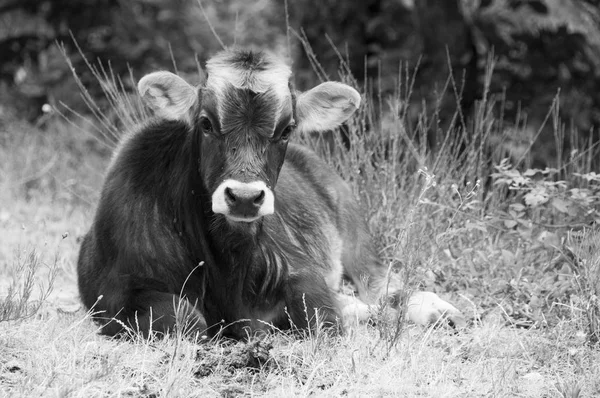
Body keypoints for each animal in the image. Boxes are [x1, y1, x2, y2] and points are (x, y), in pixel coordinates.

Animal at [77, 47, 464, 338]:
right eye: (205, 123)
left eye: (287, 129)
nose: (245, 197)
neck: (225, 267)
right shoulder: (113, 293)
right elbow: (185, 318)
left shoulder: (301, 270)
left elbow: (322, 318)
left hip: (356, 236)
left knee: (383, 284)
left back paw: (436, 310)